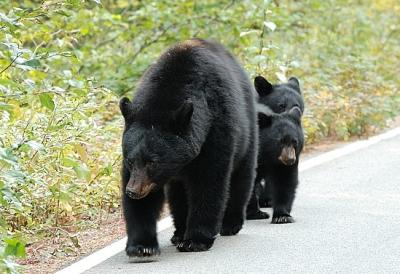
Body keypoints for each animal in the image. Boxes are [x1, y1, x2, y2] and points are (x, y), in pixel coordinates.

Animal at [119, 39, 256, 256]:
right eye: (130, 161)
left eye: (152, 162)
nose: (133, 191)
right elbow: (142, 202)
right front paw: (142, 246)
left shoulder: (215, 128)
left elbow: (209, 181)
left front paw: (196, 240)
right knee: (178, 195)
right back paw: (179, 233)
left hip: (247, 132)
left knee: (241, 176)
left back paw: (230, 224)